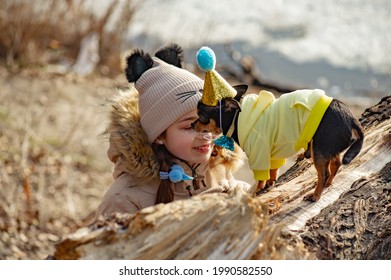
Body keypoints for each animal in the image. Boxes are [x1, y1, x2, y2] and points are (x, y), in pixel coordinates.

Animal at [194, 85, 366, 201]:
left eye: (200, 115)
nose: (192, 124)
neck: (237, 117)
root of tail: (351, 118)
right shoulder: (272, 153)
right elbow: (273, 170)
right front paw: (270, 183)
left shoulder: (259, 154)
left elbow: (260, 178)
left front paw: (256, 191)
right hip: (328, 148)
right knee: (336, 164)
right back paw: (329, 184)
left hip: (319, 151)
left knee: (324, 174)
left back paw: (315, 195)